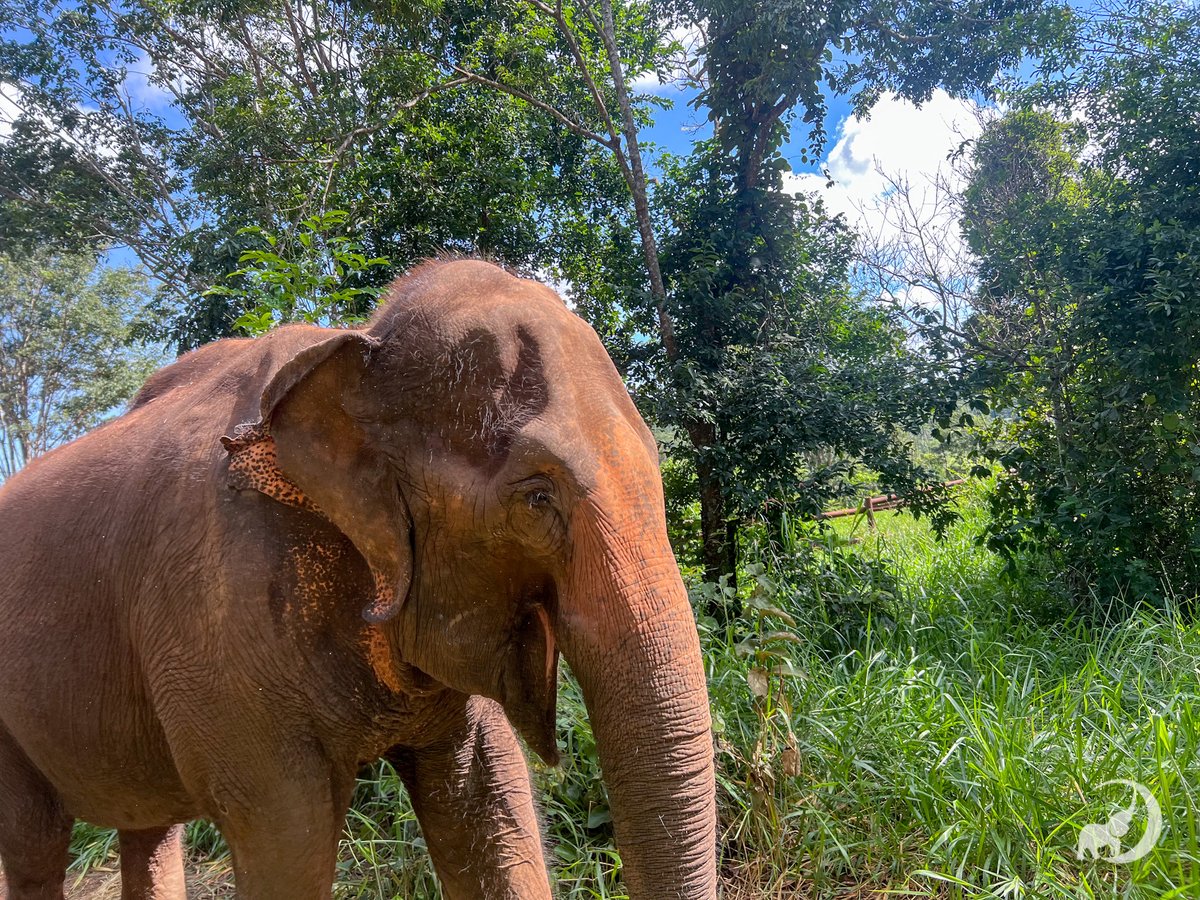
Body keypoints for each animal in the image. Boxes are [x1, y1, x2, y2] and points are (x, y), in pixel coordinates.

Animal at [0, 260, 715, 900]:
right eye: (537, 496)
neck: (351, 346)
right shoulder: (213, 626)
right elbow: (288, 843)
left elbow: (487, 802)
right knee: (37, 845)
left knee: (147, 833)